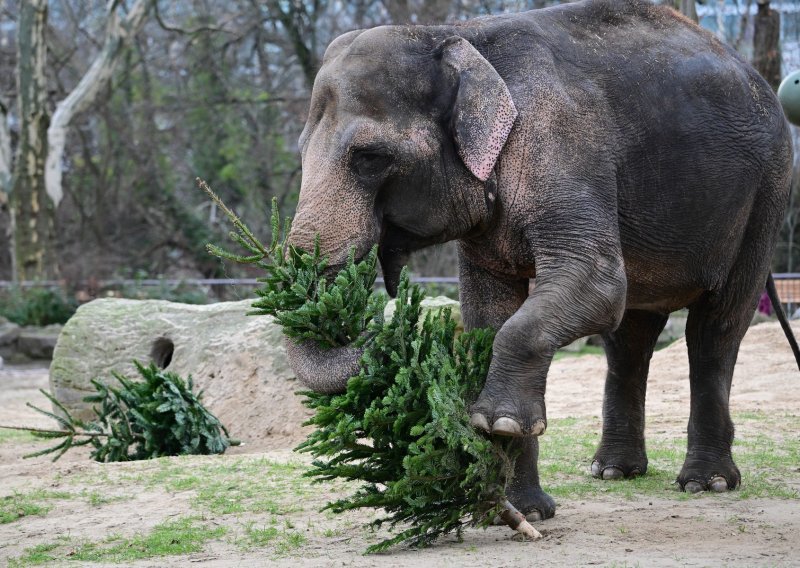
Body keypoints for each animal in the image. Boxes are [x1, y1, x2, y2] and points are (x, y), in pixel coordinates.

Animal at [284, 0, 800, 520]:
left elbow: (596, 284)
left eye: (369, 157)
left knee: (714, 327)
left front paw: (500, 422)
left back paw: (706, 483)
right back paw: (614, 472)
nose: (383, 329)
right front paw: (524, 508)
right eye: (301, 153)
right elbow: (489, 314)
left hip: (767, 194)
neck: (455, 35)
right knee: (629, 337)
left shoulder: (563, 147)